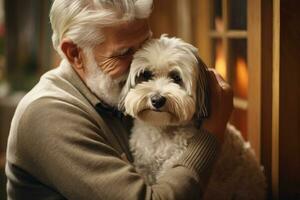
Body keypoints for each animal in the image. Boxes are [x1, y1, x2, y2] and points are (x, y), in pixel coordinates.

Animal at [118, 35, 266, 199]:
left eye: (176, 77)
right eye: (146, 75)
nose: (157, 100)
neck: (163, 129)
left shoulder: (172, 163)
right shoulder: (145, 166)